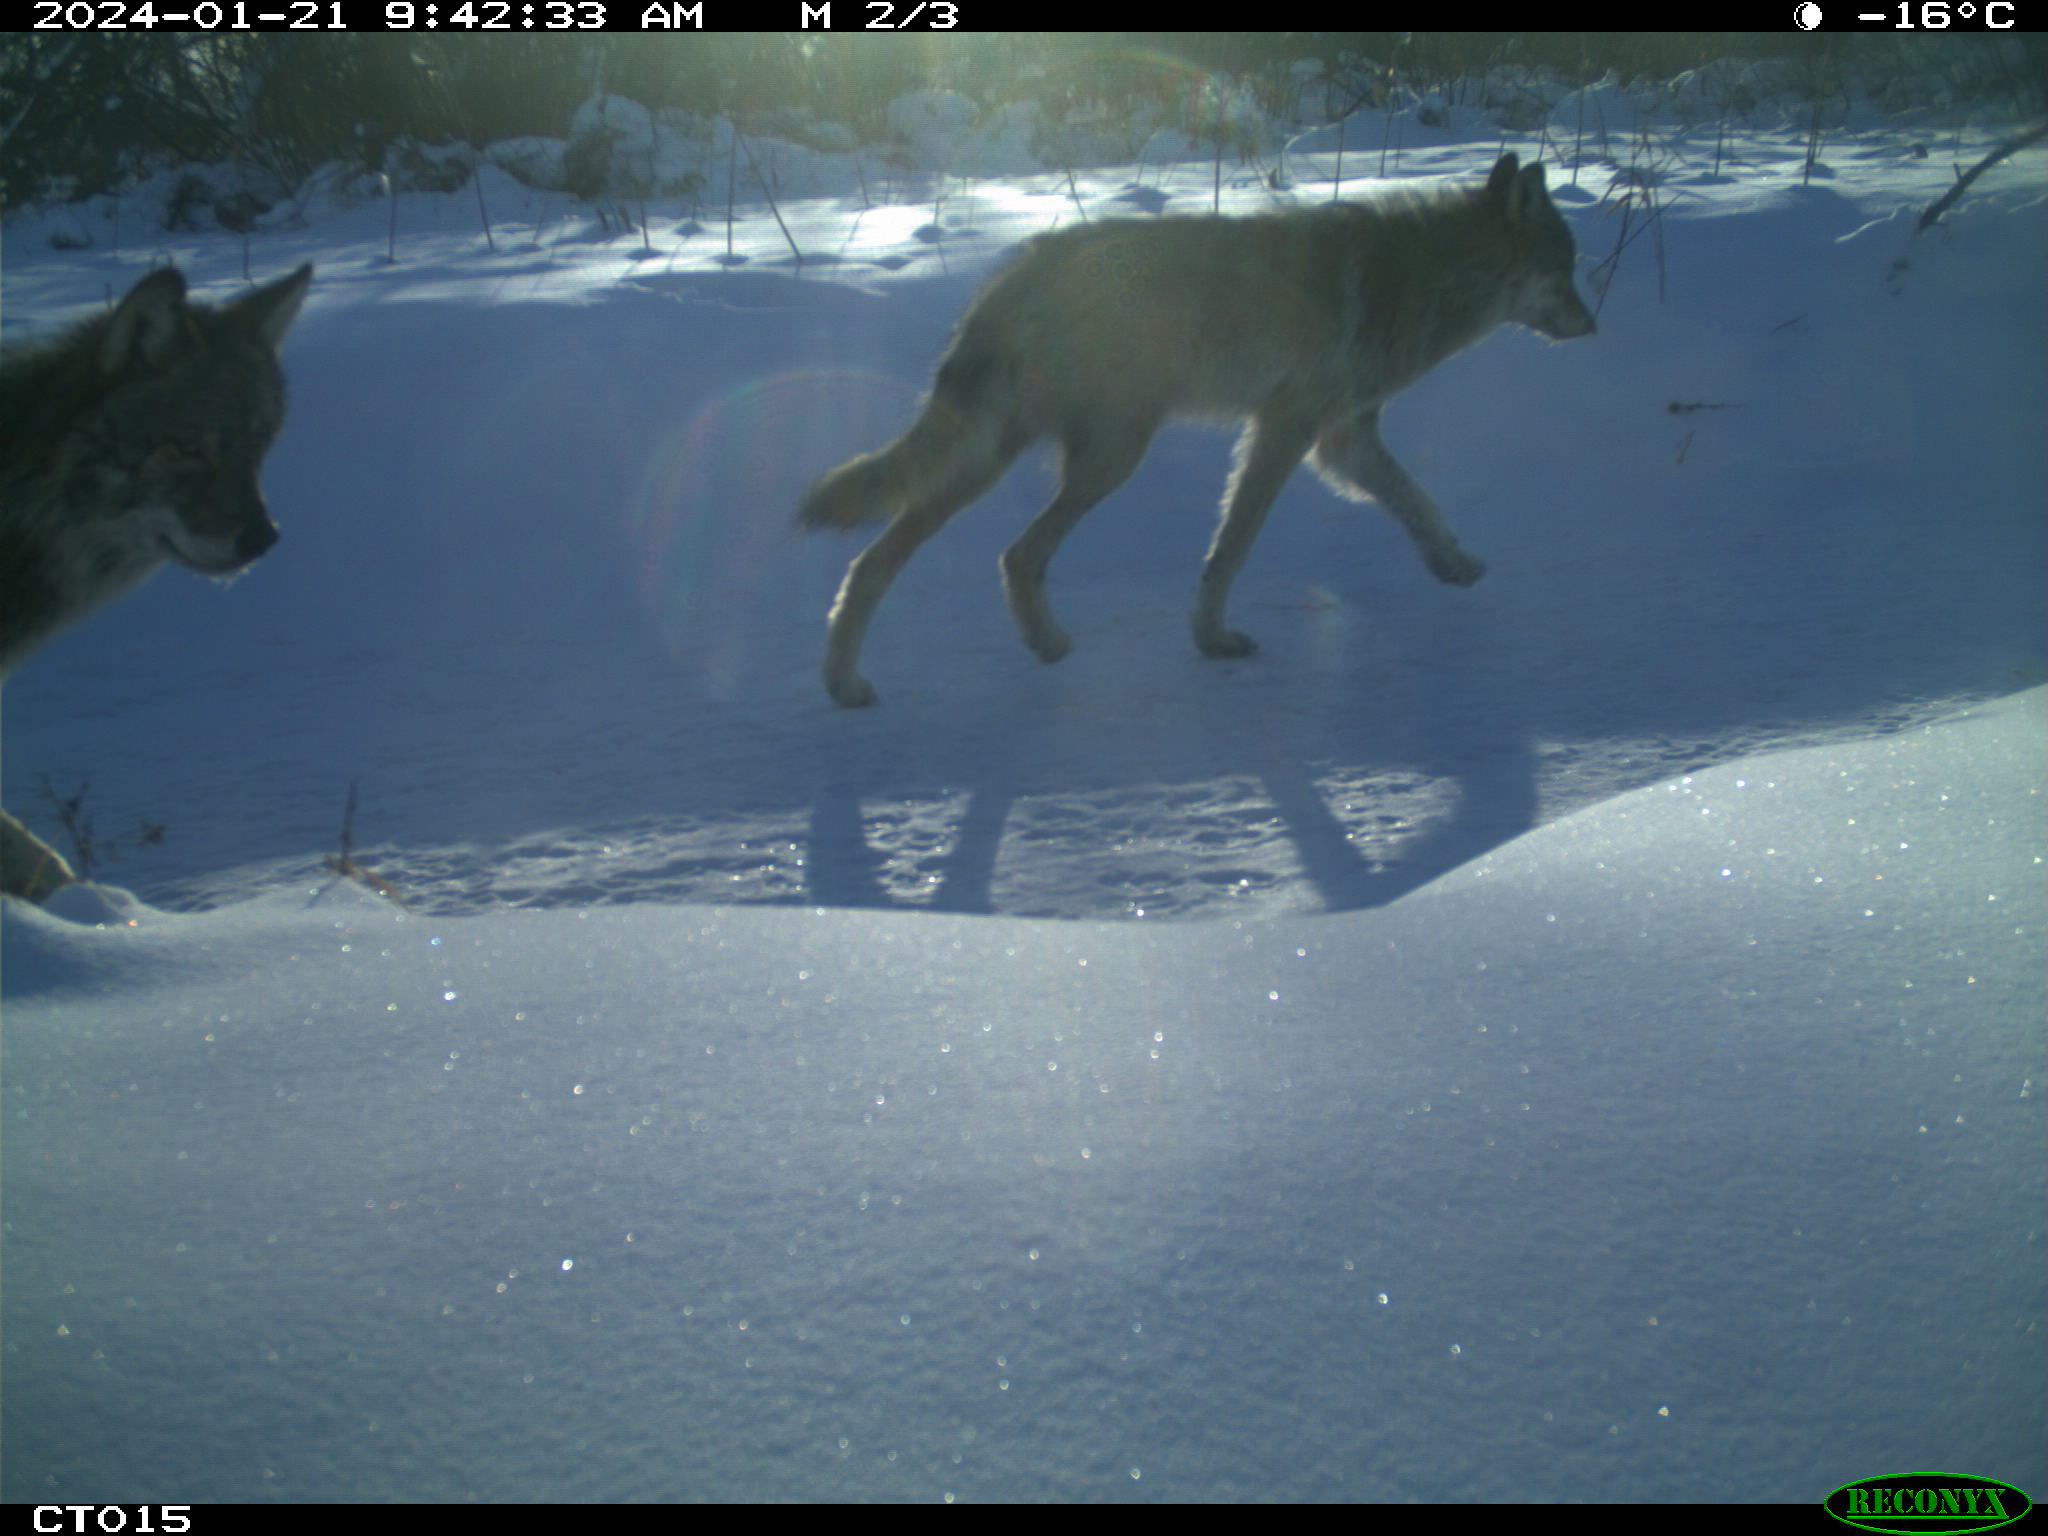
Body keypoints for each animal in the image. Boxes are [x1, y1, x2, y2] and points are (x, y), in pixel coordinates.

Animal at [790, 153, 1589, 708]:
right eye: (1571, 269)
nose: (1594, 324)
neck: (1426, 277)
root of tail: (1012, 275)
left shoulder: (1342, 440)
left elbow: (1419, 503)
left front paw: (1454, 563)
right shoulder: (1286, 430)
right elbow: (1231, 550)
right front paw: (1212, 640)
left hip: (999, 462)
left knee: (892, 562)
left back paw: (863, 681)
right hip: (1104, 459)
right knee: (1002, 555)